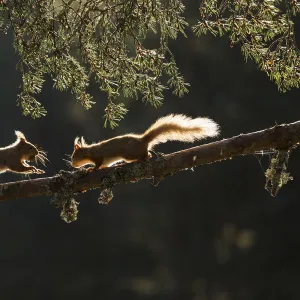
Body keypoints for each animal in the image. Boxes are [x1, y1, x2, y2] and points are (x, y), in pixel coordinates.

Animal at [71, 114, 219, 170]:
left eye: (74, 156)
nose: (72, 164)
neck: (89, 150)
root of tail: (143, 140)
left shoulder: (97, 156)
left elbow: (98, 163)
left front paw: (91, 169)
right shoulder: (104, 162)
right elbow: (104, 166)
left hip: (130, 154)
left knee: (145, 155)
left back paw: (144, 157)